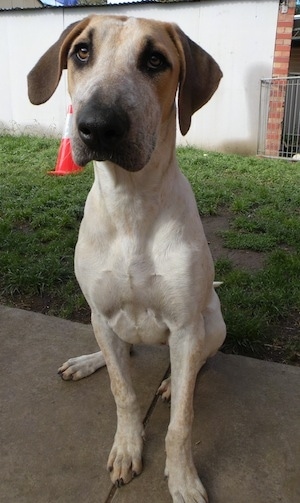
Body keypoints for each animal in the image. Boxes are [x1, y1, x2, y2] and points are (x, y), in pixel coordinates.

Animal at [28, 15, 226, 503]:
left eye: (155, 59)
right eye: (81, 51)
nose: (97, 126)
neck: (131, 204)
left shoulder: (186, 327)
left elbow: (181, 423)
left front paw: (183, 478)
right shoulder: (101, 312)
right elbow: (123, 393)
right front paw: (126, 448)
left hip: (213, 323)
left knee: (196, 362)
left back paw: (173, 381)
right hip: (102, 322)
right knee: (121, 350)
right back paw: (87, 361)